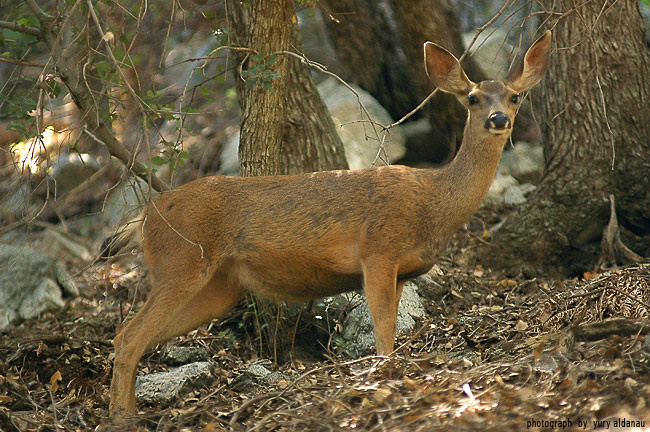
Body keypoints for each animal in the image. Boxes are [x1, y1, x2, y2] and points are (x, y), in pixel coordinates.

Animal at [102, 30, 551, 418]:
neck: (433, 202)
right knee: (130, 335)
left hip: (220, 287)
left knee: (130, 335)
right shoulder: (378, 249)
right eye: (473, 98)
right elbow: (383, 331)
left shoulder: (402, 270)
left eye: (514, 96)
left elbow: (390, 328)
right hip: (180, 260)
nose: (498, 118)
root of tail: (146, 216)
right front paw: (385, 379)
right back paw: (122, 416)